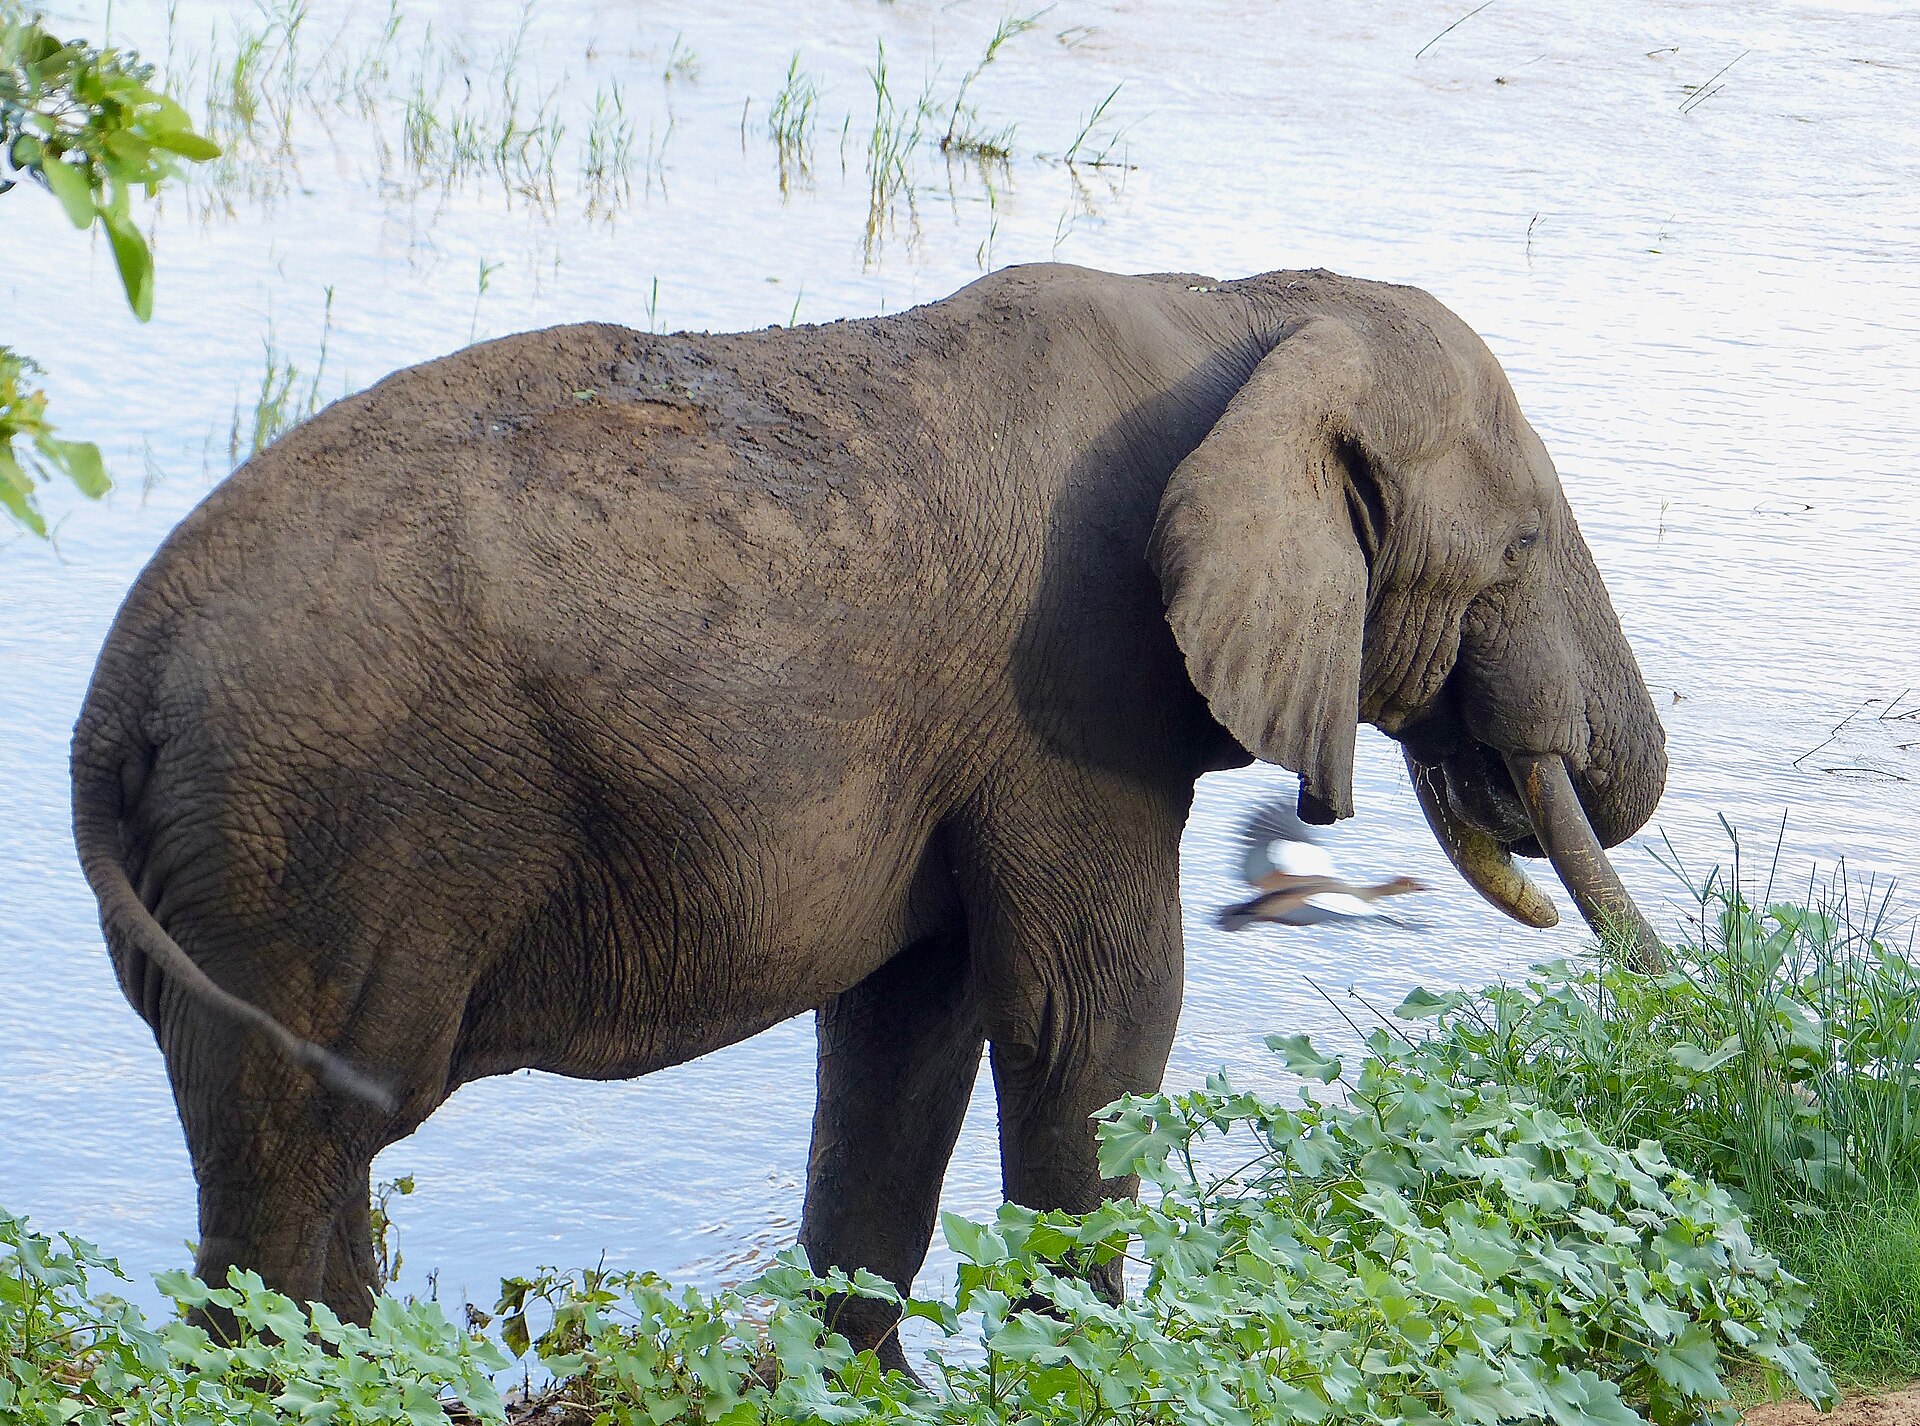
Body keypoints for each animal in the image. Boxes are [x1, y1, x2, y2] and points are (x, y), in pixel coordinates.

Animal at [72, 262, 1665, 1359]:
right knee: (297, 1157)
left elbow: (913, 1020)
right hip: (314, 845)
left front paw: (858, 1378)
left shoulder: (970, 755)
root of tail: (111, 698)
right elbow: (1094, 1022)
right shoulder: (1067, 697)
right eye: (1524, 546)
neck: (1245, 308)